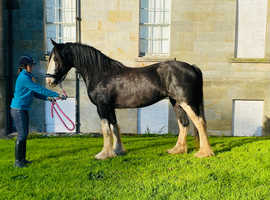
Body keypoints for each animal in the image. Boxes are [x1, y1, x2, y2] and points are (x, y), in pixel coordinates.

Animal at [46, 39, 214, 159]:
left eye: (56, 59)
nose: (49, 81)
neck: (101, 74)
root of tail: (192, 67)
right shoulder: (110, 107)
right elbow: (114, 127)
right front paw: (118, 151)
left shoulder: (102, 107)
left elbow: (106, 129)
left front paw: (103, 154)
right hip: (176, 102)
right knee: (184, 123)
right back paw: (177, 150)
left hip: (186, 102)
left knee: (200, 122)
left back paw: (204, 153)